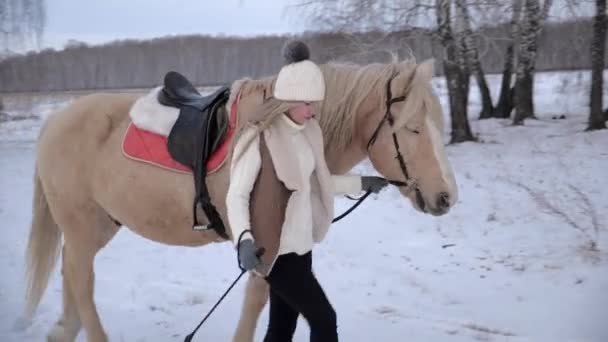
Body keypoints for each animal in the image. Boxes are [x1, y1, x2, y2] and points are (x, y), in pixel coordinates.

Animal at [25, 57, 456, 340]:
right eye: (413, 128)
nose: (446, 197)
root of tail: (55, 121)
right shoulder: (260, 241)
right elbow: (256, 302)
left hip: (96, 226)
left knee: (71, 274)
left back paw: (64, 331)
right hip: (83, 226)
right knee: (81, 281)